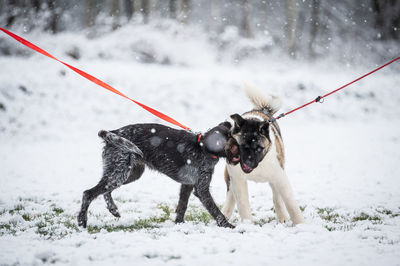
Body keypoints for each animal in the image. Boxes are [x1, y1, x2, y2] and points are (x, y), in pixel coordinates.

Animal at [77, 122, 238, 229]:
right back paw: (82, 221)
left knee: (105, 191)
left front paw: (179, 224)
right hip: (119, 173)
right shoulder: (201, 189)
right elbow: (216, 211)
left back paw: (113, 209)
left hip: (128, 173)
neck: (202, 148)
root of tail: (113, 132)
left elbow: (182, 206)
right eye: (231, 143)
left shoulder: (187, 185)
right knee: (88, 193)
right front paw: (227, 225)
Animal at [222, 87, 306, 224]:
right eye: (242, 146)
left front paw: (301, 224)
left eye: (259, 148)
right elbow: (243, 204)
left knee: (277, 197)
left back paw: (282, 217)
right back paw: (224, 215)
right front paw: (248, 225)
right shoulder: (238, 179)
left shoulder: (280, 176)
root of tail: (263, 109)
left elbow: (291, 203)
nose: (248, 163)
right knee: (231, 195)